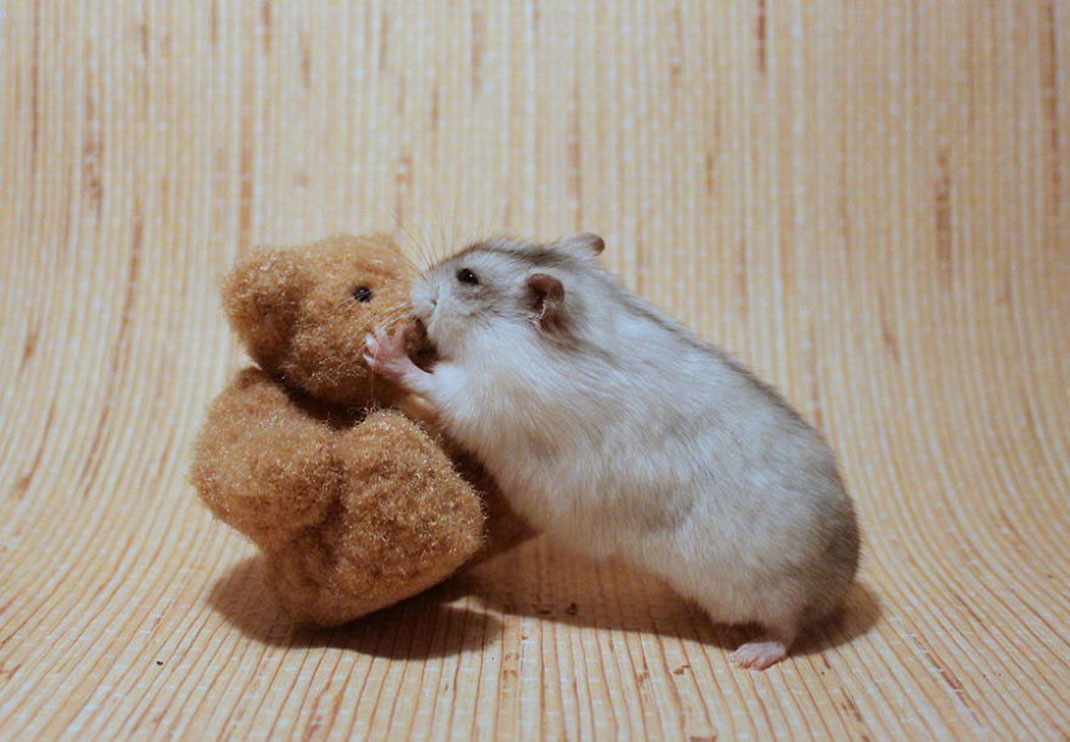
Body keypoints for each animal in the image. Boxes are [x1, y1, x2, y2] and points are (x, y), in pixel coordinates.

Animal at [365, 233, 860, 670]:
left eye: (467, 277)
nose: (418, 286)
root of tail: (840, 585)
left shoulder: (489, 393)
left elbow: (438, 385)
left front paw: (383, 347)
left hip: (769, 592)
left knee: (789, 628)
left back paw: (752, 655)